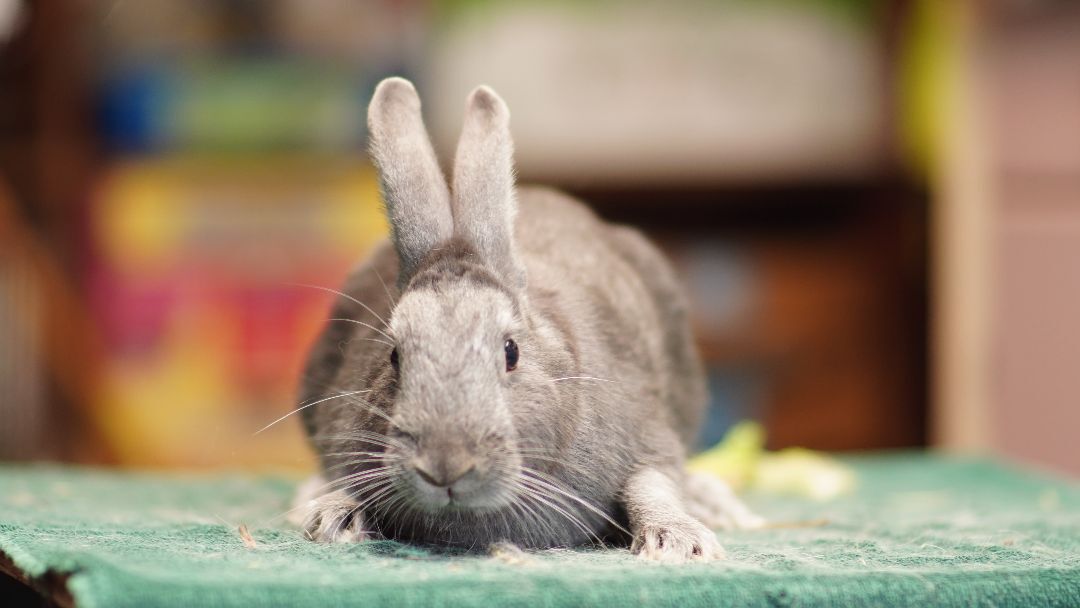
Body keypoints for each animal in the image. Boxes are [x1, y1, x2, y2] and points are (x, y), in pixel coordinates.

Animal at [291, 77, 762, 562]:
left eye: (511, 352)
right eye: (394, 357)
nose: (446, 466)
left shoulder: (646, 431)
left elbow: (652, 484)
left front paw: (681, 544)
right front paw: (332, 517)